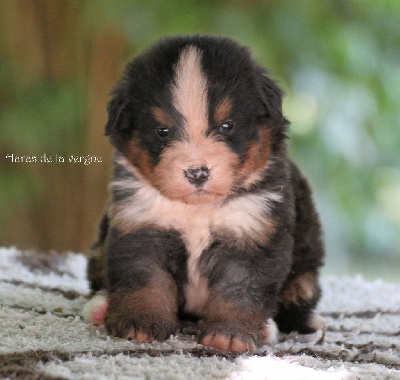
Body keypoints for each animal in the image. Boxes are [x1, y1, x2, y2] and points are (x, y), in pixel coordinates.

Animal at [83, 34, 324, 352]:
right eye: (162, 131)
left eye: (227, 125)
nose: (197, 172)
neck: (197, 210)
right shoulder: (141, 225)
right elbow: (146, 279)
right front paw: (141, 322)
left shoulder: (252, 233)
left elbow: (239, 290)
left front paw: (229, 334)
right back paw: (100, 307)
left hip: (304, 274)